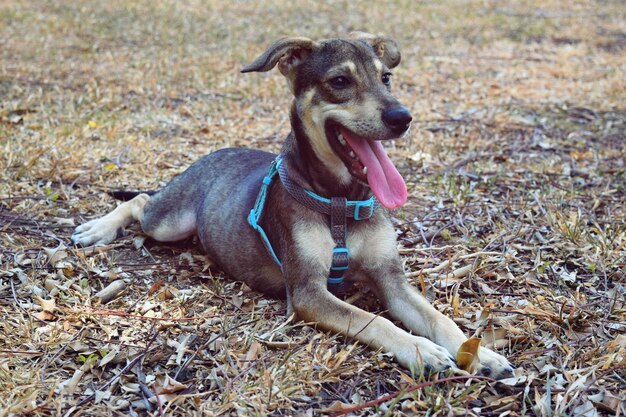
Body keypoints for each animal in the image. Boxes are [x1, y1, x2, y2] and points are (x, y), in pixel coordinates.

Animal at [73, 33, 512, 376]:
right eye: (340, 81)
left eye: (386, 78)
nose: (402, 117)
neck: (340, 200)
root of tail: (211, 155)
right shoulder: (307, 293)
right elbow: (372, 320)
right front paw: (421, 350)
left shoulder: (392, 281)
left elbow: (439, 318)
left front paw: (479, 353)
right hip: (171, 222)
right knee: (140, 201)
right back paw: (98, 228)